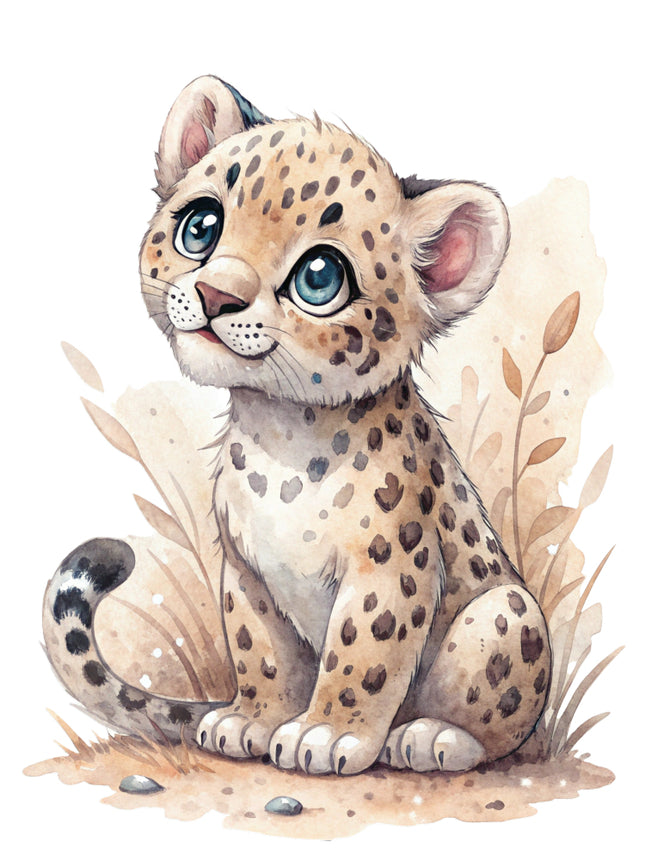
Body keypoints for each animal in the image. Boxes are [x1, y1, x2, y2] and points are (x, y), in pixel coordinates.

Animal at [43, 75, 551, 776]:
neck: (279, 440)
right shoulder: (245, 568)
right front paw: (251, 721)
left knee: (499, 722)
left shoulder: (388, 567)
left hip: (507, 610)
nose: (216, 295)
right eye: (201, 226)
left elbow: (362, 653)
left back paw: (431, 737)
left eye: (319, 276)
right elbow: (259, 647)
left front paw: (328, 734)